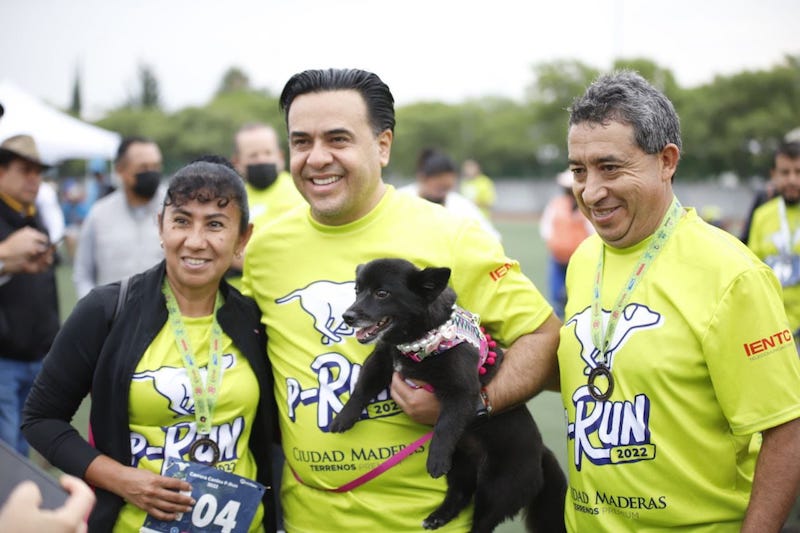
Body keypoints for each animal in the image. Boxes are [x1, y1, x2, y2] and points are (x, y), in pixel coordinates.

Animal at [328, 258, 564, 532]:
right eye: (357, 291)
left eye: (382, 293)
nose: (348, 316)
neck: (419, 340)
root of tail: (542, 454)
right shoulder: (381, 360)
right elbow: (362, 388)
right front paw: (343, 418)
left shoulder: (462, 391)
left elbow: (445, 426)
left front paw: (436, 459)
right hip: (461, 465)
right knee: (459, 495)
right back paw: (437, 517)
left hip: (497, 490)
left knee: (482, 521)